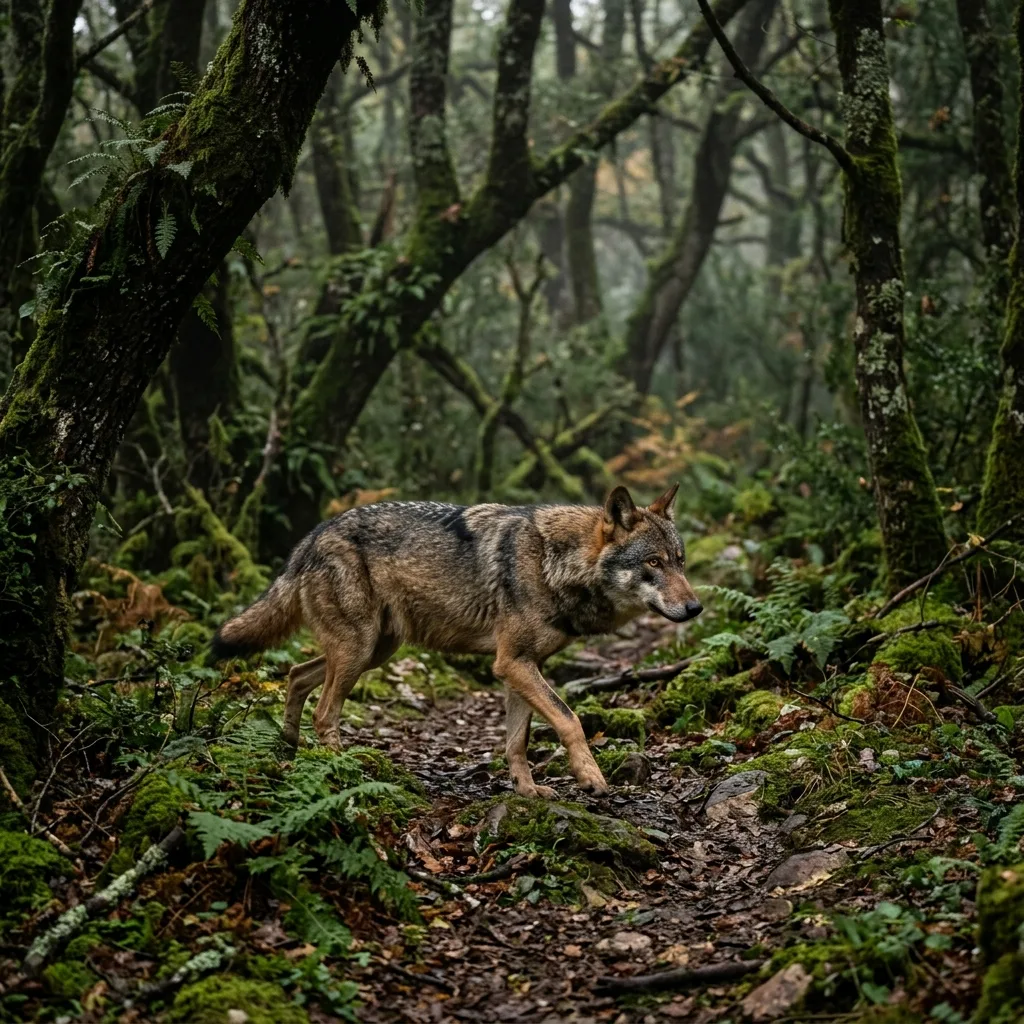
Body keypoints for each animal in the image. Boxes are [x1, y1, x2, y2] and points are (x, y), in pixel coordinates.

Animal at [211, 484, 702, 798]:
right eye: (653, 563)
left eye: (680, 561)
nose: (695, 608)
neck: (554, 563)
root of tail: (309, 539)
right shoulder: (513, 664)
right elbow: (569, 720)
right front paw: (591, 778)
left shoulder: (521, 667)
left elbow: (517, 742)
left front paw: (528, 792)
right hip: (358, 652)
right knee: (325, 711)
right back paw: (344, 770)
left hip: (373, 652)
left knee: (296, 675)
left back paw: (289, 750)